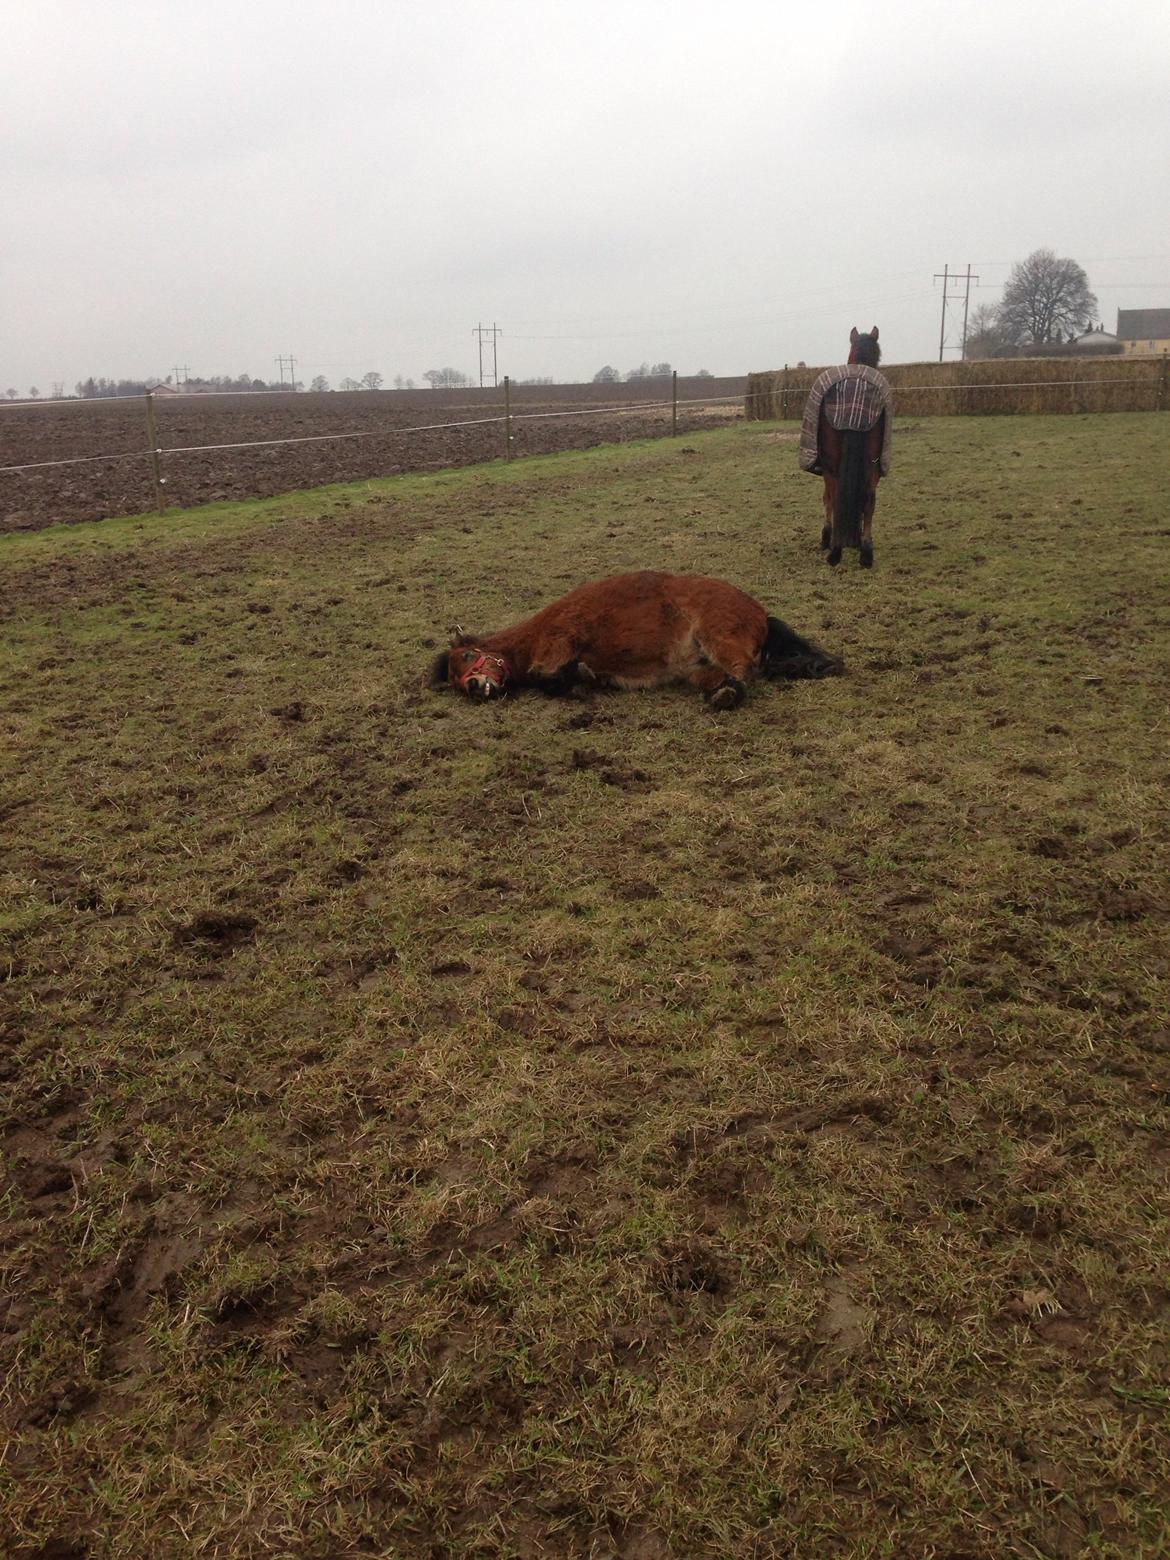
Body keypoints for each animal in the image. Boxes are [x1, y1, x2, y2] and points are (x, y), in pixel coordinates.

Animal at [430, 570, 842, 711]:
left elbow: (545, 675)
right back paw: (722, 693)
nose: (474, 687)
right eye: (453, 680)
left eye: (466, 656)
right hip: (697, 669)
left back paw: (729, 695)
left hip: (717, 638)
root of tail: (759, 612)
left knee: (744, 672)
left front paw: (579, 678)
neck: (534, 634)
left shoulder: (559, 642)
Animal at [804, 326, 898, 570]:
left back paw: (836, 551)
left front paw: (826, 538)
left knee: (837, 497)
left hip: (832, 466)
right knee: (870, 499)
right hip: (873, 466)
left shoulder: (827, 470)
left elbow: (828, 499)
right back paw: (866, 553)